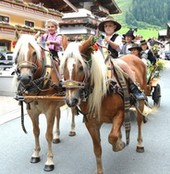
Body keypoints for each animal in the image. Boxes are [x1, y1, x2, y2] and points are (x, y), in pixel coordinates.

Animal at [13, 33, 76, 171]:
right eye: (18, 52)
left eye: (34, 53)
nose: (25, 78)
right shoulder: (32, 111)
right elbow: (36, 132)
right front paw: (36, 154)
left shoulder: (49, 110)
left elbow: (48, 135)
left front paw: (49, 161)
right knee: (58, 116)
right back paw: (57, 136)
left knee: (74, 112)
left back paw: (72, 130)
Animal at [61, 36, 147, 173]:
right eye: (62, 67)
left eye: (81, 67)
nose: (71, 101)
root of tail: (134, 57)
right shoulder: (91, 123)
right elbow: (97, 149)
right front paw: (100, 170)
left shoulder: (121, 112)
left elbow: (112, 136)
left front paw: (119, 144)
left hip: (140, 103)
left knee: (139, 122)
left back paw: (140, 144)